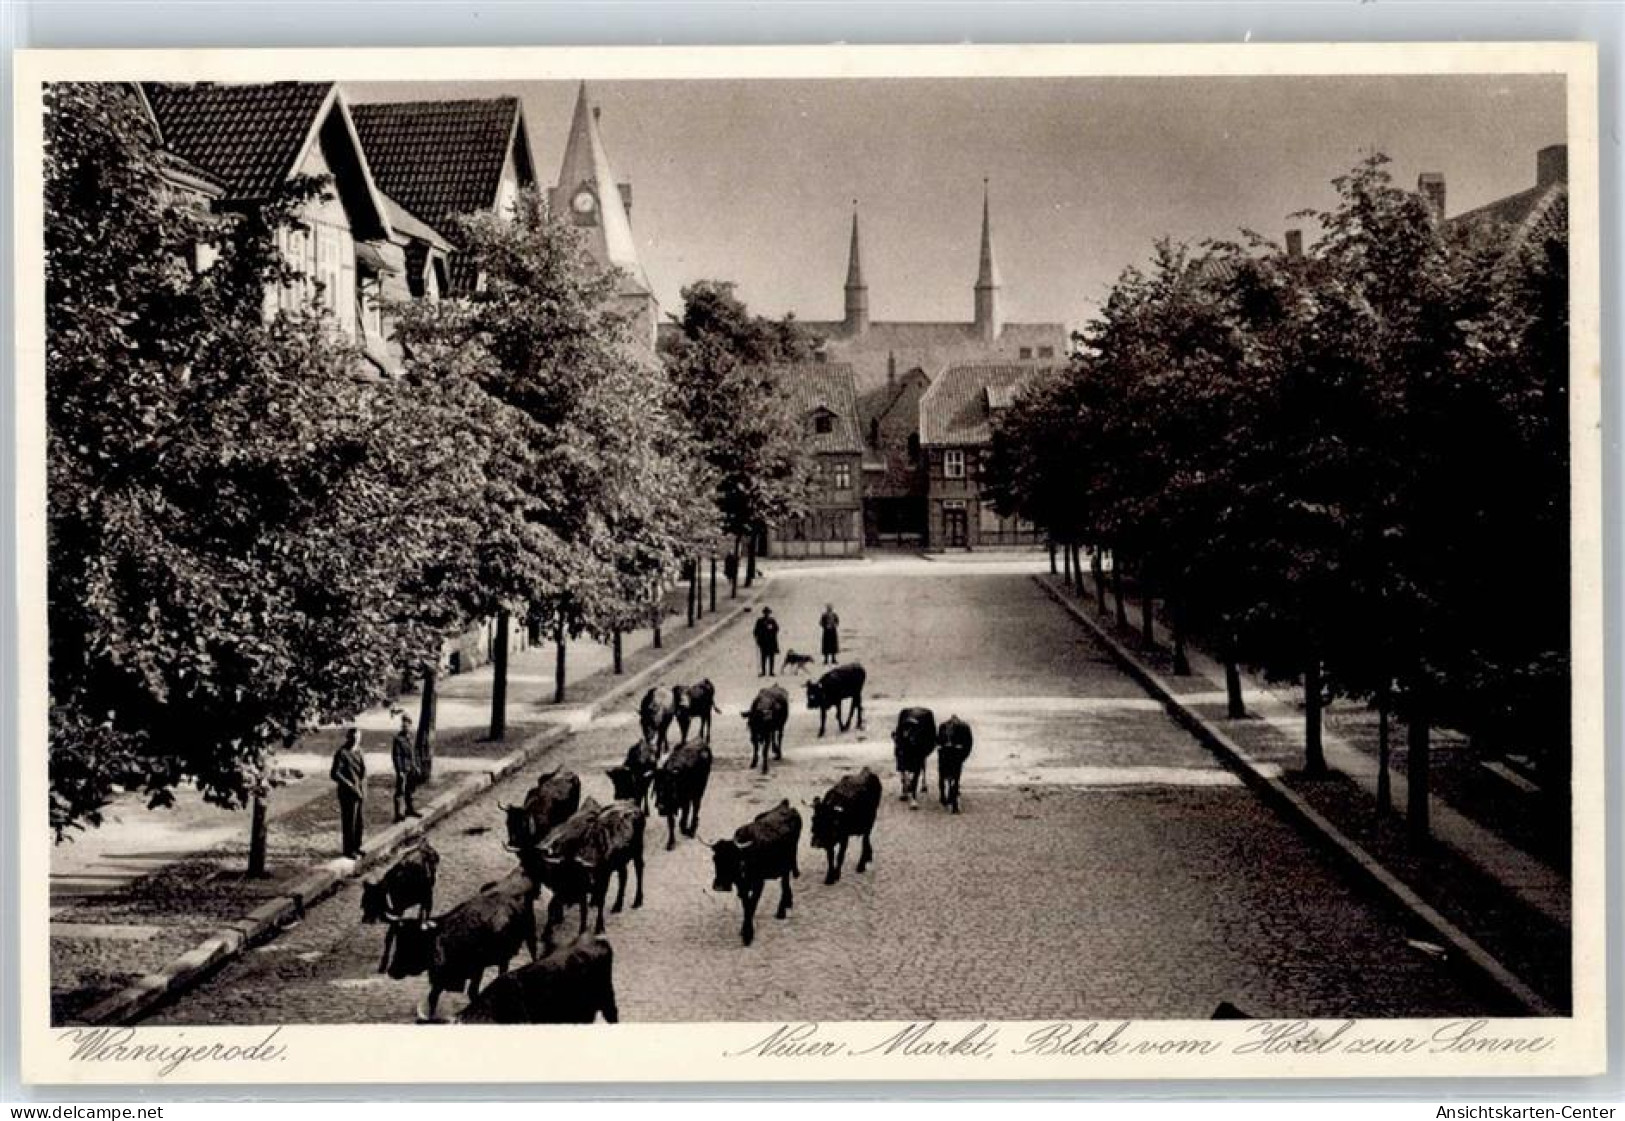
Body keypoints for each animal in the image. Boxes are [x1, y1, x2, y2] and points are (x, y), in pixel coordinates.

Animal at [380, 870, 539, 1020]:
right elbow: (432, 997)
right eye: (399, 940)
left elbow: (473, 993)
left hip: (529, 936)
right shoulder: (441, 977)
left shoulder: (477, 969)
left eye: (415, 943)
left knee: (531, 954)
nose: (392, 971)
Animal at [715, 796, 802, 942]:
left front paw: (747, 934)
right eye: (715, 859)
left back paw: (781, 911)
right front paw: (744, 931)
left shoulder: (759, 883)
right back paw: (788, 903)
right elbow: (746, 905)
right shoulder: (741, 886)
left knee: (785, 883)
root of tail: (784, 805)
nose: (719, 886)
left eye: (734, 861)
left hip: (788, 861)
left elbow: (752, 904)